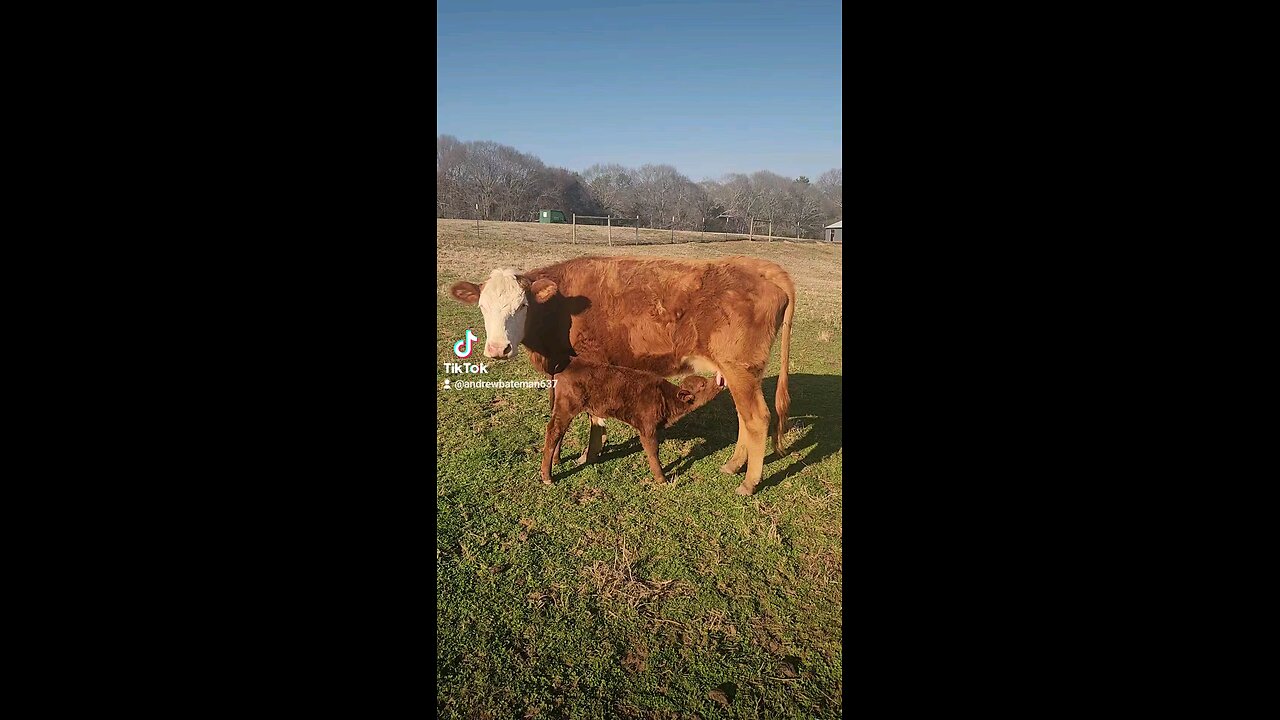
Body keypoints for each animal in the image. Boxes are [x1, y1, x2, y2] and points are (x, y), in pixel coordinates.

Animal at [537, 361, 727, 484]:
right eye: (702, 385)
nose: (719, 382)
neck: (664, 397)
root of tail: (568, 365)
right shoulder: (647, 428)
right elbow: (653, 451)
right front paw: (661, 479)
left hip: (563, 410)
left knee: (560, 432)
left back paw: (557, 460)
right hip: (566, 408)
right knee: (553, 431)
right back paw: (547, 477)